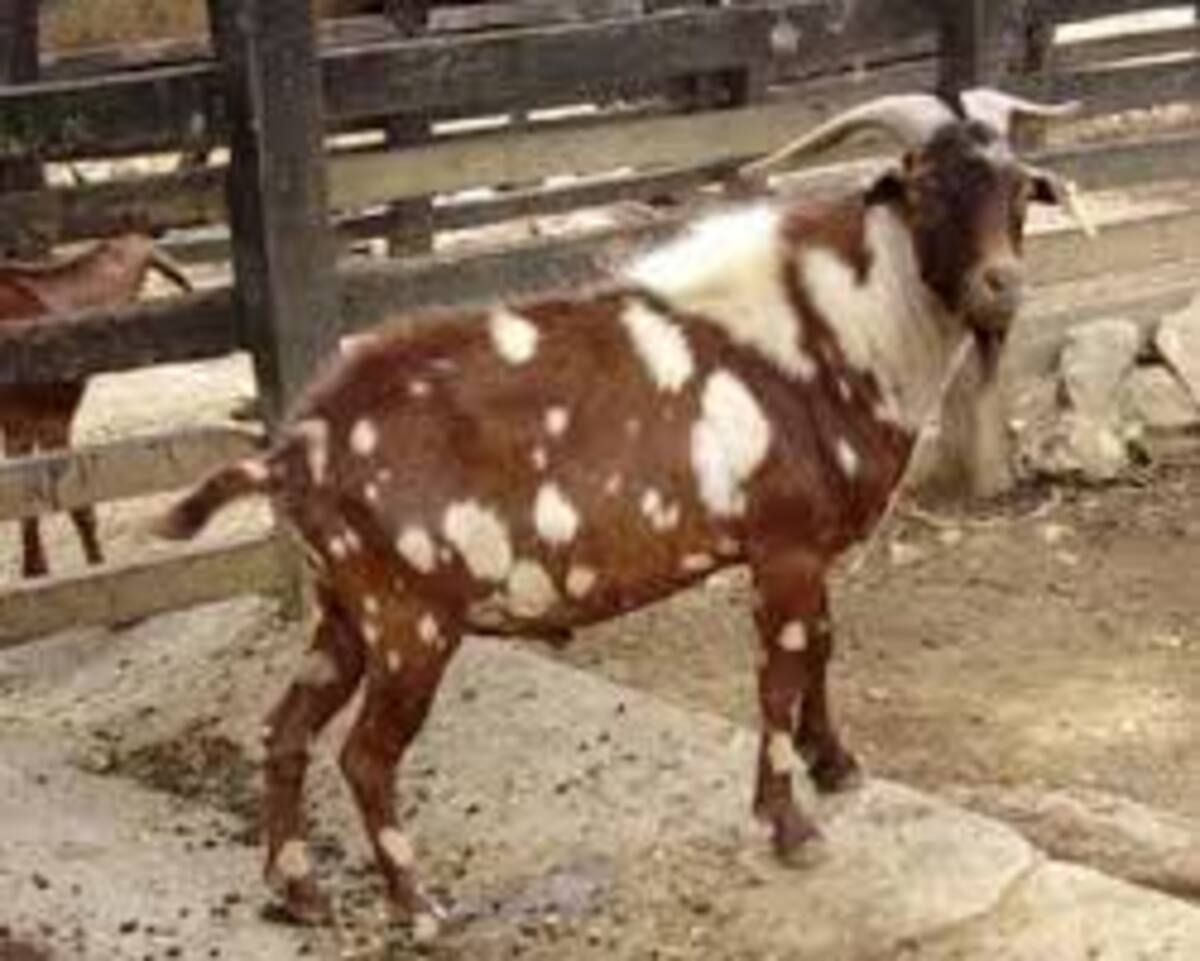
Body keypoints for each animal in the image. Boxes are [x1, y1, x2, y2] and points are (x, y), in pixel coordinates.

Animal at [1, 234, 193, 578]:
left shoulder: (18, 424)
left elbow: (25, 495)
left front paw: (35, 569)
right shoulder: (51, 420)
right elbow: (78, 502)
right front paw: (97, 566)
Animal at [156, 89, 1086, 935]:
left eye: (1017, 189)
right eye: (926, 187)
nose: (1002, 287)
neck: (828, 339)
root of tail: (291, 451)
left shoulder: (807, 549)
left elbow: (822, 648)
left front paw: (838, 766)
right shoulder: (782, 548)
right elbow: (779, 679)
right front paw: (790, 826)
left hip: (345, 611)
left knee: (283, 730)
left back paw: (298, 892)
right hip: (409, 620)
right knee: (365, 756)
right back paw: (420, 907)